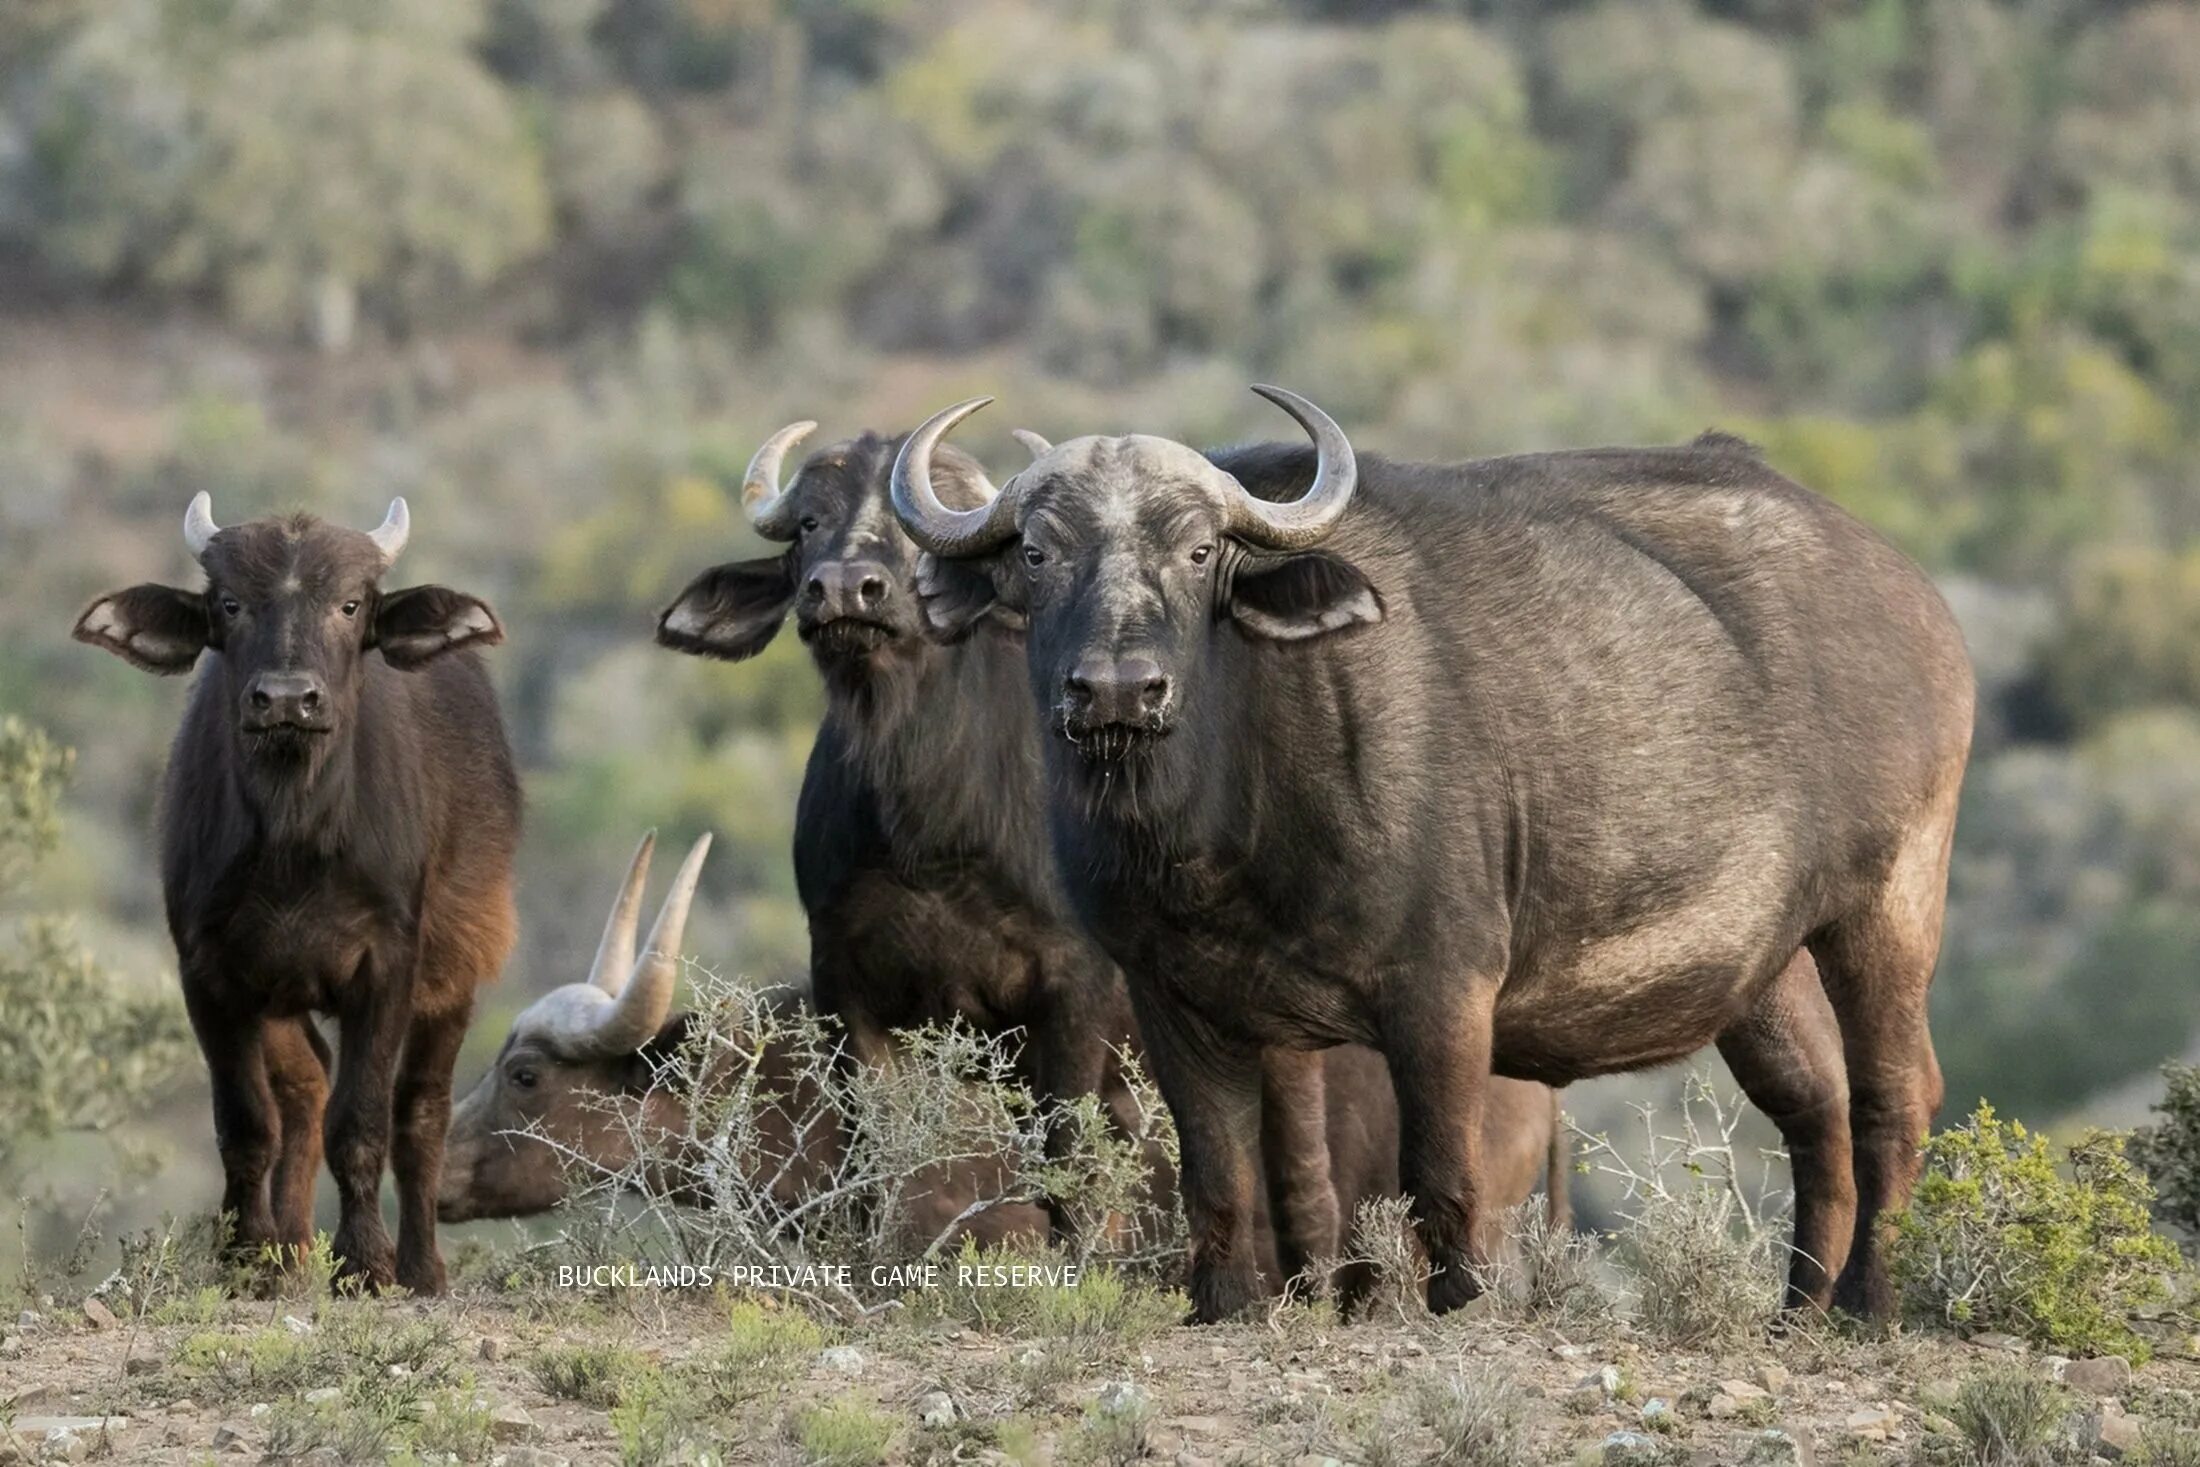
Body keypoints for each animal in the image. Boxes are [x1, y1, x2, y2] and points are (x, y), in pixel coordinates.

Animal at [72, 497, 519, 1293]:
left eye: (350, 603)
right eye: (230, 603)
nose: (286, 699)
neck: (293, 839)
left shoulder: (388, 964)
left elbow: (363, 1120)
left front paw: (366, 1261)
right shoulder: (210, 972)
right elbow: (247, 1122)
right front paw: (248, 1253)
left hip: (456, 967)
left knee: (421, 1110)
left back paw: (421, 1265)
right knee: (304, 1089)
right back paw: (290, 1248)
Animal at [893, 387, 1980, 1319]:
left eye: (1199, 550)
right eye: (1039, 553)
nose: (1118, 689)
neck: (1218, 822)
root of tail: (1913, 599)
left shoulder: (1443, 990)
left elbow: (1442, 1174)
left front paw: (1463, 1301)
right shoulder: (1173, 1000)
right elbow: (1217, 1173)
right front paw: (1222, 1304)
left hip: (1889, 905)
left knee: (1893, 1097)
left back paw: (1864, 1303)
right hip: (1764, 968)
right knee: (1816, 1110)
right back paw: (1795, 1308)